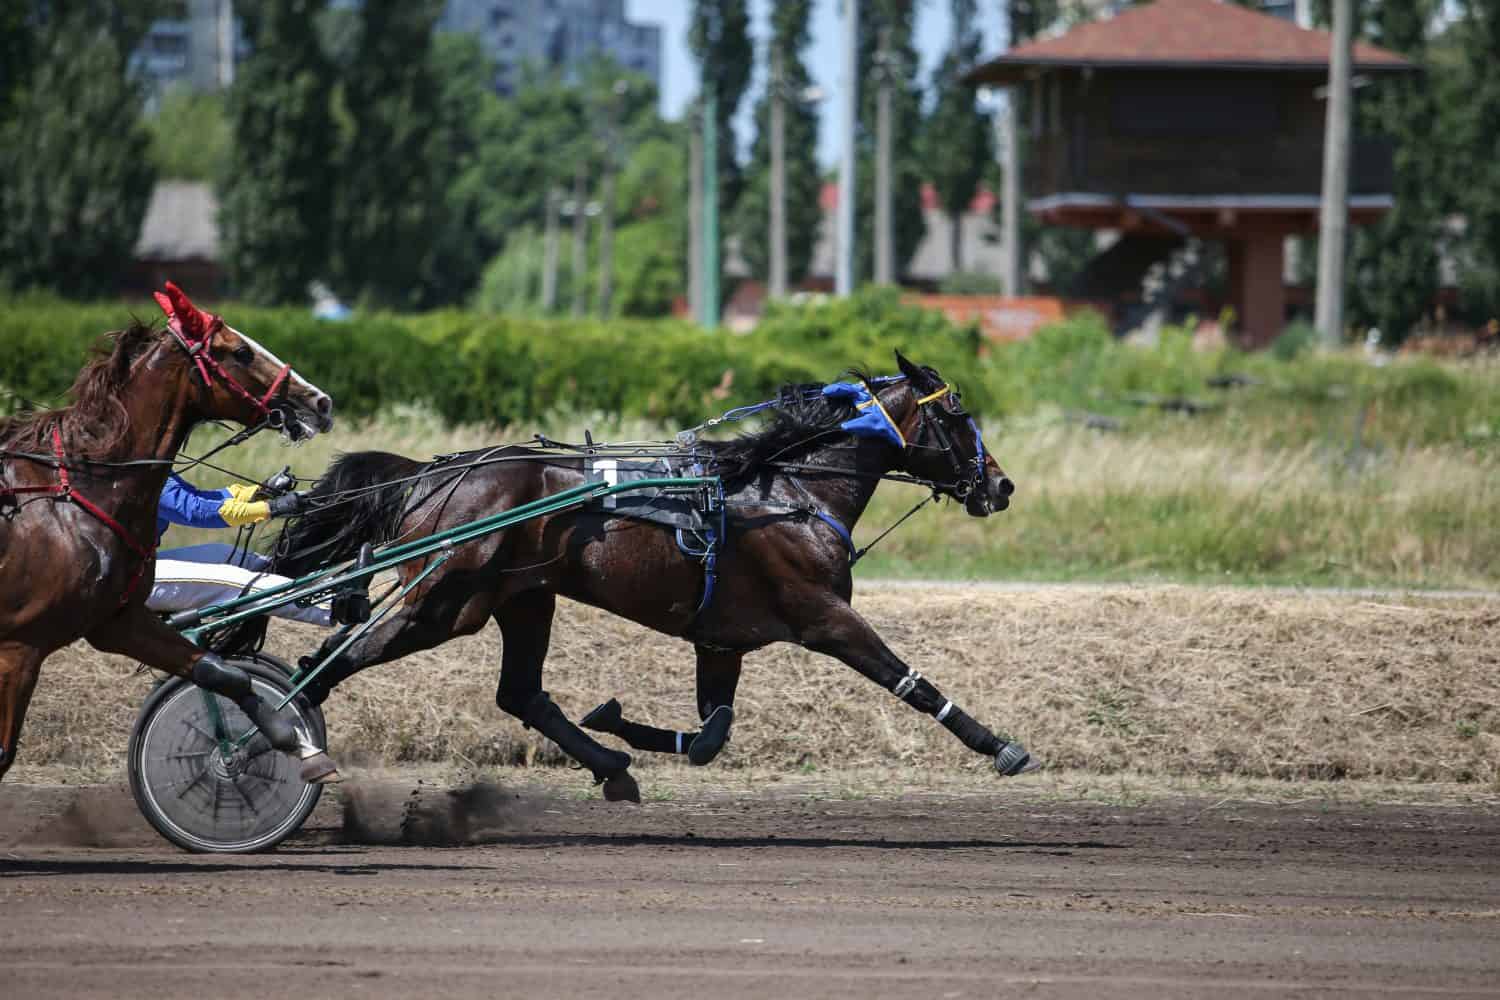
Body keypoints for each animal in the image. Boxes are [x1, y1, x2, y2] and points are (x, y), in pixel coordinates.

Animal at [2, 284, 337, 785]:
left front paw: (291, 740)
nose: (320, 402)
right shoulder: (20, 647)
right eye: (240, 351)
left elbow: (222, 672)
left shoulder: (117, 620)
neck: (77, 490)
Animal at [276, 355, 1038, 803]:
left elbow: (712, 733)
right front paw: (1000, 746)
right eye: (957, 415)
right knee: (329, 662)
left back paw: (611, 767)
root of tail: (435, 473)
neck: (793, 492)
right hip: (442, 601)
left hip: (524, 596)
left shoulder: (722, 640)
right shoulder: (823, 616)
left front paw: (617, 720)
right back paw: (281, 734)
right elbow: (910, 680)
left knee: (521, 692)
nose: (1000, 484)